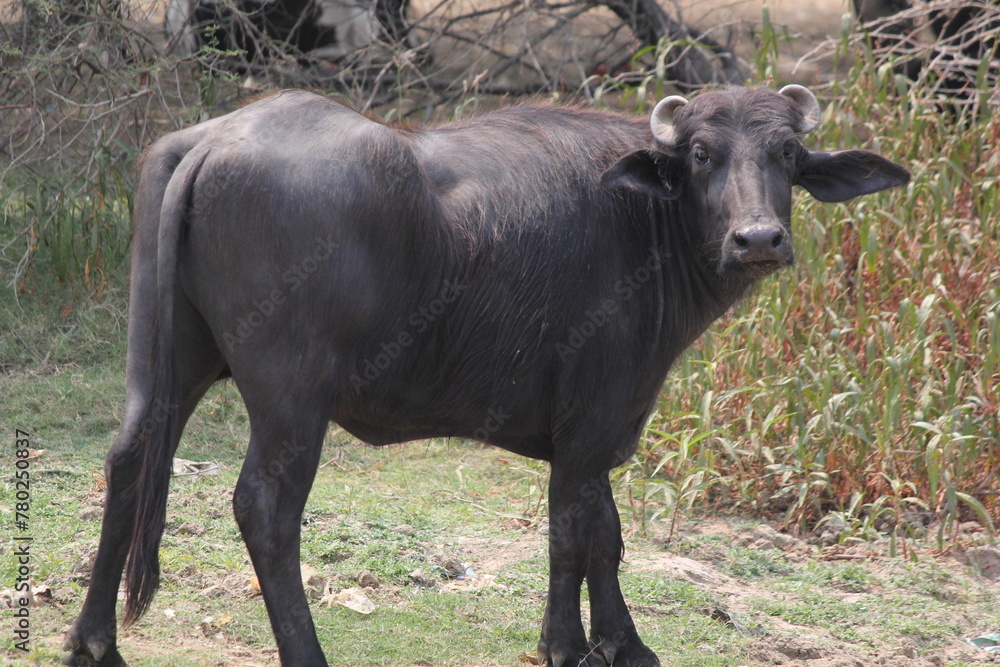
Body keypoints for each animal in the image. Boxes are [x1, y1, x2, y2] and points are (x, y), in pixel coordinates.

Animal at [64, 85, 909, 666]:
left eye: (788, 156)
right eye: (702, 154)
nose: (758, 237)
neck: (644, 221)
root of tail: (214, 140)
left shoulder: (593, 432)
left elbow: (606, 534)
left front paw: (625, 642)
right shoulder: (594, 416)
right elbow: (574, 532)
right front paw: (567, 643)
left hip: (165, 360)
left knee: (128, 460)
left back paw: (94, 641)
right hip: (290, 397)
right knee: (265, 507)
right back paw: (308, 653)